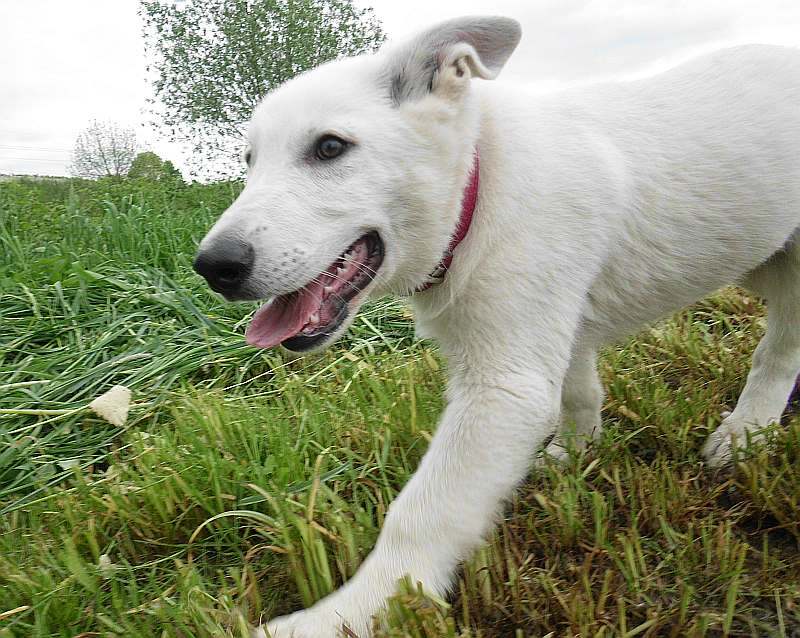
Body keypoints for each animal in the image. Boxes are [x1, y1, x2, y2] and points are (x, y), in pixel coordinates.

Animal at [195, 17, 800, 636]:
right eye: (249, 160)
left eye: (330, 147)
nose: (213, 267)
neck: (480, 180)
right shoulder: (549, 327)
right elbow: (577, 391)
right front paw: (574, 452)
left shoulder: (504, 388)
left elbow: (423, 512)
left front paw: (355, 610)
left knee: (779, 352)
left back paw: (745, 433)